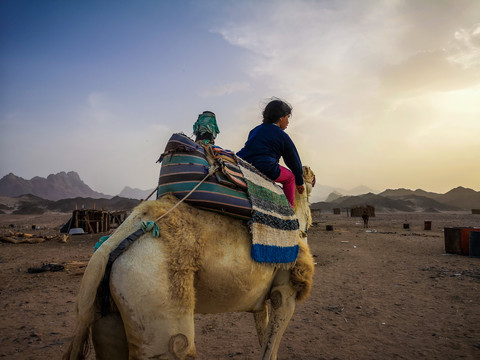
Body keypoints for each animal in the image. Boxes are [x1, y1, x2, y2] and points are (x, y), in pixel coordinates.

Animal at [65, 167, 316, 360]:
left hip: (108, 313)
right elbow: (271, 347)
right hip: (159, 306)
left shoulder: (261, 298)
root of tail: (107, 249)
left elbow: (263, 334)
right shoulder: (285, 292)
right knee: (178, 346)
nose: (312, 176)